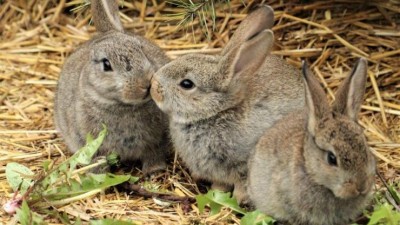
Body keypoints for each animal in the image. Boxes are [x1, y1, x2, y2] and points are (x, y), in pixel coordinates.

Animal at [54, 0, 170, 174]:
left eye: (140, 48)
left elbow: (154, 152)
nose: (145, 83)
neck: (123, 106)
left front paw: (154, 169)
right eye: (106, 64)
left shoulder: (156, 139)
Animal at [150, 5, 304, 202]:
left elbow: (242, 184)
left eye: (187, 84)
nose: (153, 86)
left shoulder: (245, 165)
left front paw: (239, 199)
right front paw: (216, 193)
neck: (216, 113)